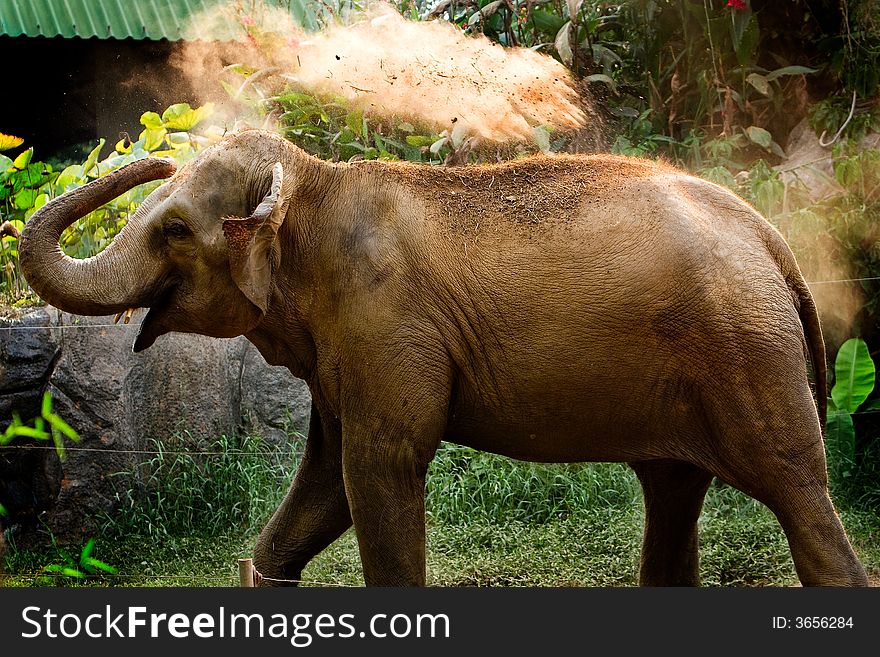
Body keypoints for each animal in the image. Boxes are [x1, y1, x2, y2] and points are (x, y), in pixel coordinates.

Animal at [18, 128, 868, 584]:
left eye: (172, 230)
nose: (155, 158)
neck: (314, 181)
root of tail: (774, 240)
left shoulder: (389, 328)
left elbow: (377, 469)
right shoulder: (349, 350)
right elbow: (323, 487)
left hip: (748, 357)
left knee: (798, 493)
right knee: (672, 492)